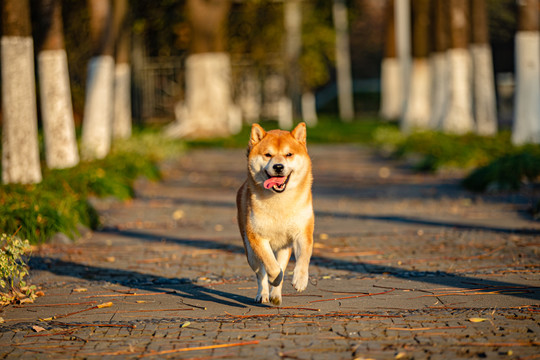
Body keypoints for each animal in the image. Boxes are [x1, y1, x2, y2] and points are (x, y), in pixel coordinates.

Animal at [235, 122, 314, 306]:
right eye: (268, 154)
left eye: (289, 154)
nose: (278, 166)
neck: (280, 202)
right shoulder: (257, 237)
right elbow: (271, 266)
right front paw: (274, 278)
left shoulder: (303, 232)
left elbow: (304, 257)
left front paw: (300, 280)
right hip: (251, 253)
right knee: (261, 273)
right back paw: (263, 294)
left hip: (284, 248)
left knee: (282, 266)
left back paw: (276, 295)